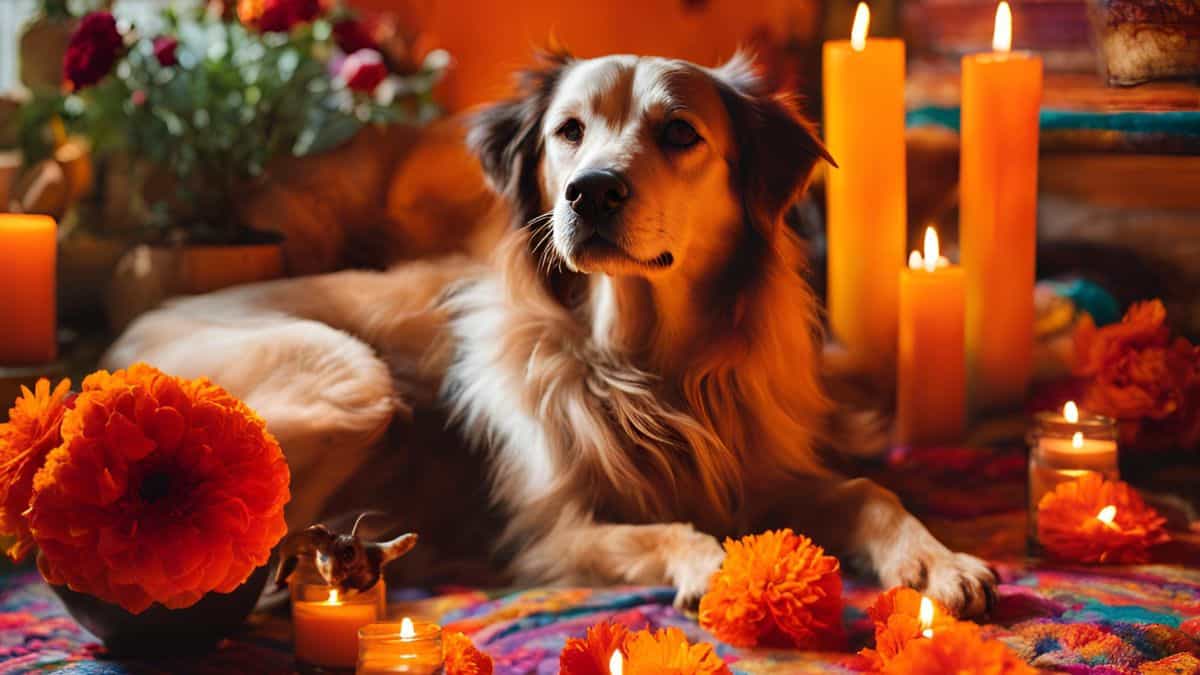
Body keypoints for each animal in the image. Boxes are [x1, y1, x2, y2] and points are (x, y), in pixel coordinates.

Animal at [110, 49, 993, 612]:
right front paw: (707, 560)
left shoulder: (757, 474)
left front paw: (935, 557)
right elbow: (660, 528)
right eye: (569, 131)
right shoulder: (549, 529)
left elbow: (869, 491)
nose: (590, 190)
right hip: (355, 381)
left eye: (681, 132)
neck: (641, 359)